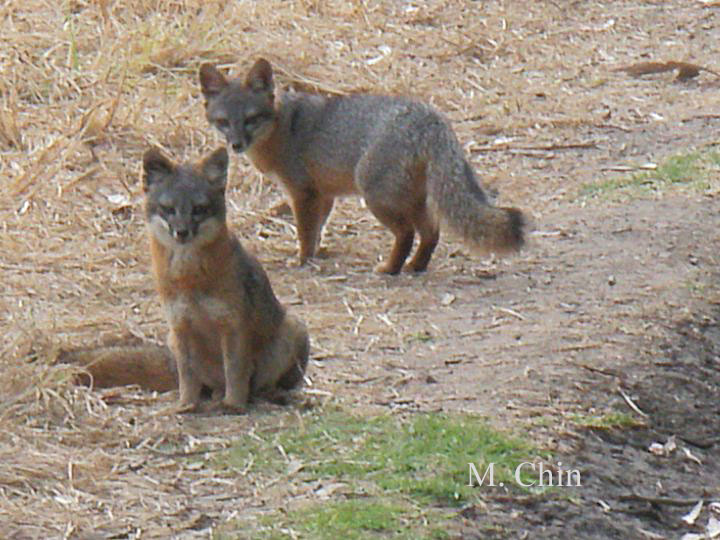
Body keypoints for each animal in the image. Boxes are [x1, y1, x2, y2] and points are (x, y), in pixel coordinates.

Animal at [198, 58, 525, 275]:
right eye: (223, 122)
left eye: (251, 119)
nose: (235, 145)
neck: (281, 126)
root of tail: (430, 118)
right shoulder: (323, 194)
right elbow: (317, 229)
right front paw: (318, 253)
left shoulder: (303, 193)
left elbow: (305, 231)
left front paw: (302, 260)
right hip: (413, 198)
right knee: (431, 232)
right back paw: (416, 266)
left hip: (376, 197)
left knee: (407, 233)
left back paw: (390, 268)